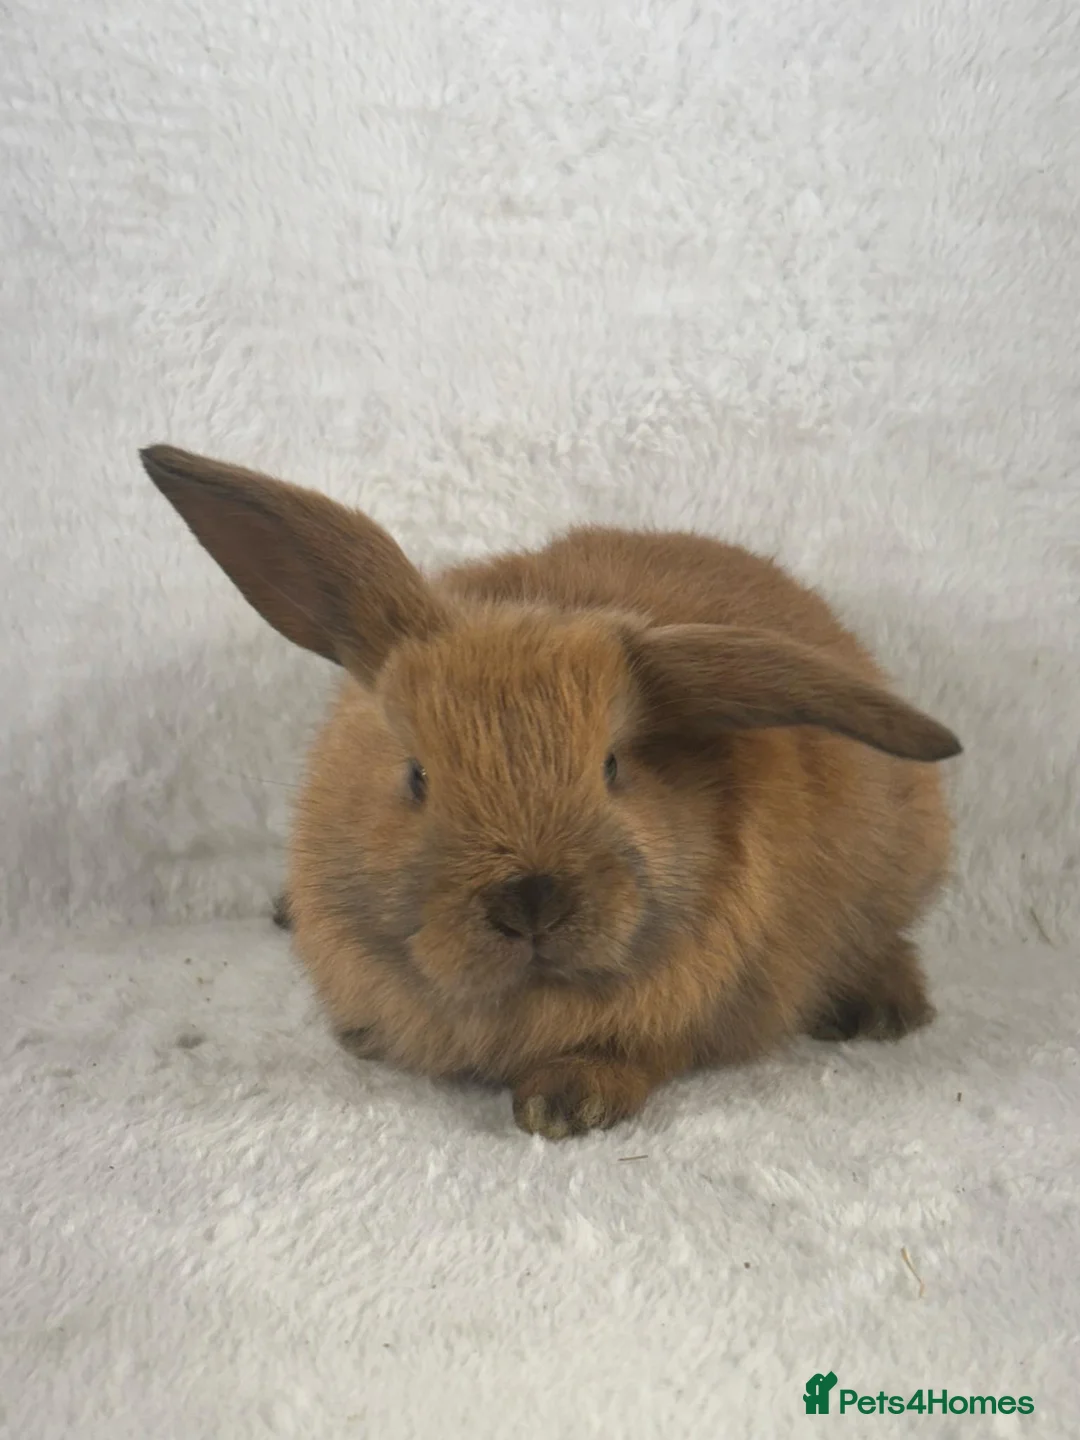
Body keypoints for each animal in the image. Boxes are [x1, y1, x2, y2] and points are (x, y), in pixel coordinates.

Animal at [141, 444, 962, 1139]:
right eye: (416, 775)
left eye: (613, 767)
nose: (530, 901)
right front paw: (364, 1035)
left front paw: (564, 1105)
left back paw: (882, 1011)